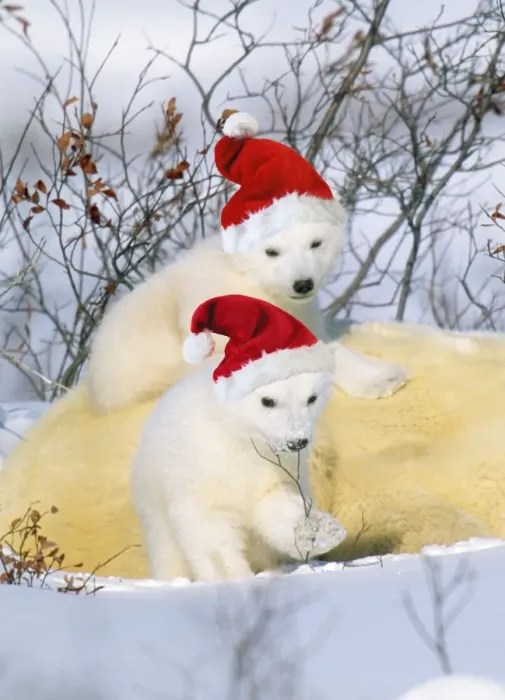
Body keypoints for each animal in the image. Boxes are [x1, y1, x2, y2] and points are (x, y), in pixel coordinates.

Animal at [131, 294, 347, 581]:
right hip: (155, 512)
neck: (238, 436)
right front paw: (232, 575)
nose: (297, 441)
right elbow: (209, 528)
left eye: (312, 398)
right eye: (268, 400)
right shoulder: (201, 470)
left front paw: (318, 531)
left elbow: (276, 503)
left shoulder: (276, 469)